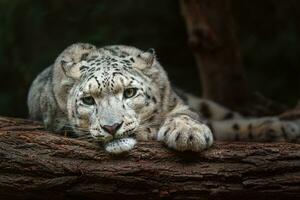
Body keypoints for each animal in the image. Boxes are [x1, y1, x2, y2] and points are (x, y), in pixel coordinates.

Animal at [27, 43, 300, 154]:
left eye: (129, 92)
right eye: (88, 100)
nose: (112, 126)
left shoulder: (178, 102)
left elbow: (185, 115)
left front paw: (189, 135)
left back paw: (284, 127)